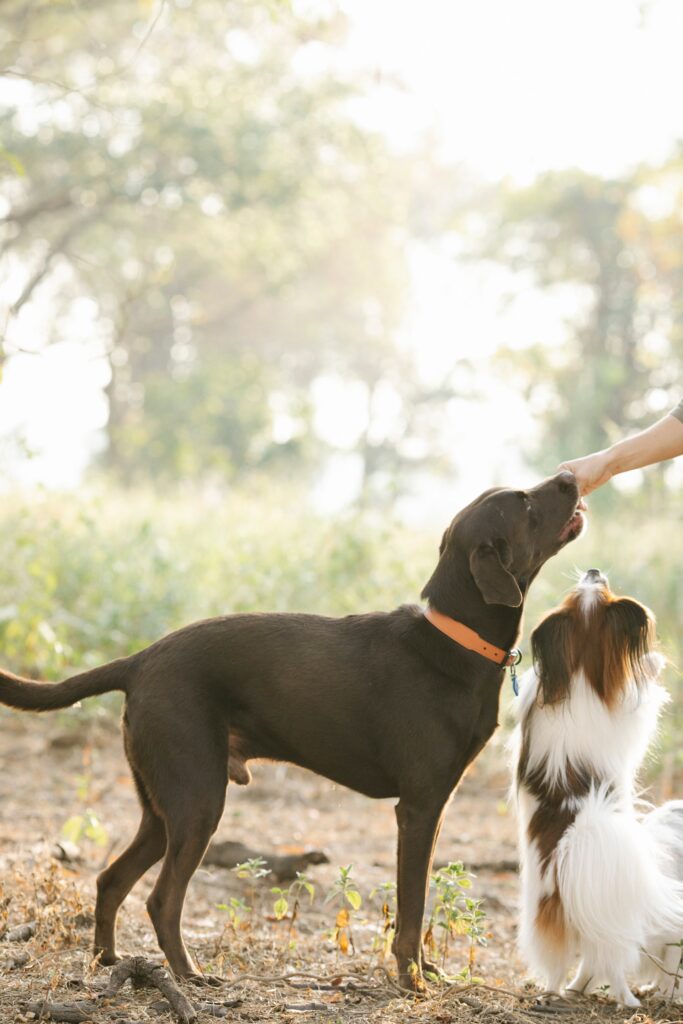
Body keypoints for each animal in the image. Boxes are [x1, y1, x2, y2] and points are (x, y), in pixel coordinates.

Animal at [0, 473, 581, 991]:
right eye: (526, 503)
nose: (571, 478)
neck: (454, 639)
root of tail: (139, 661)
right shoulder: (418, 809)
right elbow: (412, 909)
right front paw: (411, 979)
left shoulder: (435, 806)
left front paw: (426, 970)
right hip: (198, 801)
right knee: (161, 899)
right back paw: (188, 974)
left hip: (163, 807)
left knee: (110, 879)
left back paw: (108, 961)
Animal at [511, 573, 683, 1003]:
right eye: (602, 588)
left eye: (591, 589)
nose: (593, 571)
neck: (580, 673)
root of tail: (575, 839)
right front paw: (654, 663)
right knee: (614, 962)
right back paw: (628, 998)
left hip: (550, 918)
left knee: (569, 962)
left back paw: (559, 991)